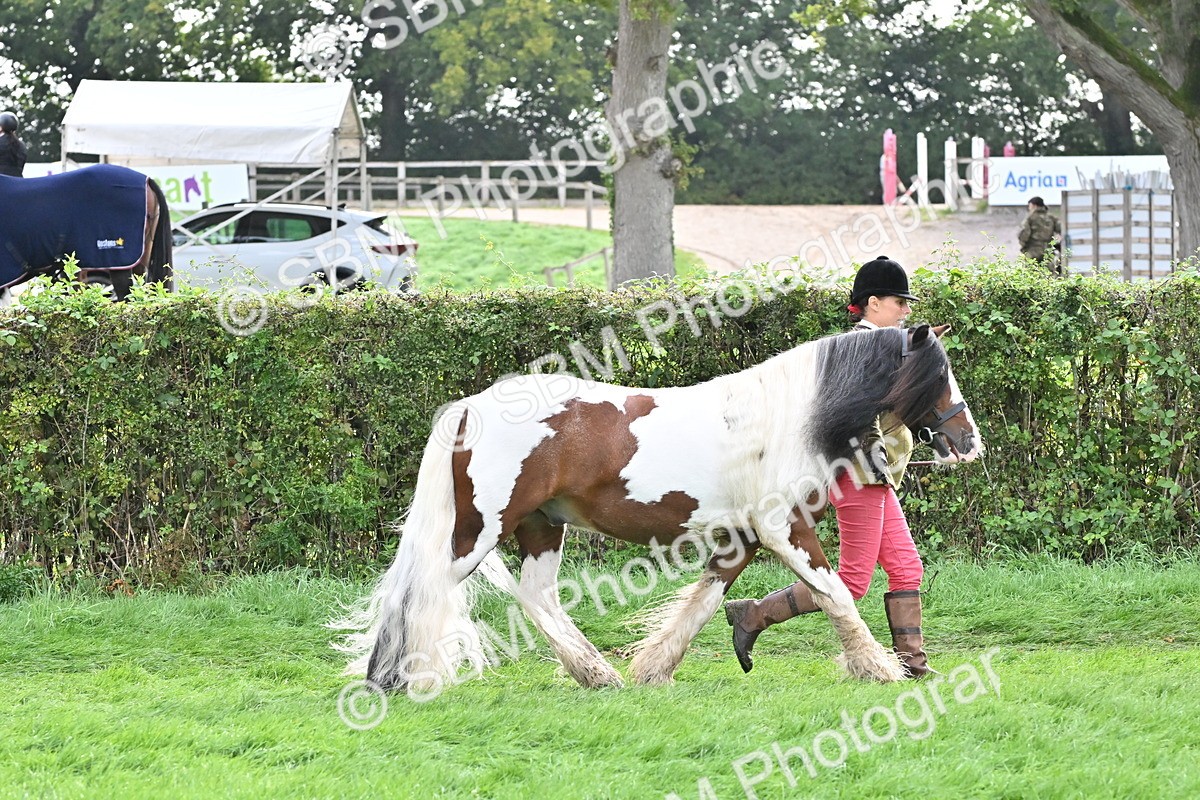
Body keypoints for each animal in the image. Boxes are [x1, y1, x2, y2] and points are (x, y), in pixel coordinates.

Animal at [336, 323, 982, 696]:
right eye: (940, 373)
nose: (969, 442)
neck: (784, 420)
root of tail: (472, 405)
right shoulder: (784, 528)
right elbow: (837, 595)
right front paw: (880, 668)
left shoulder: (744, 537)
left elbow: (704, 603)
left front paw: (654, 669)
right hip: (478, 533)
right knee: (423, 590)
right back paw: (398, 679)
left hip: (541, 527)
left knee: (538, 598)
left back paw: (598, 676)